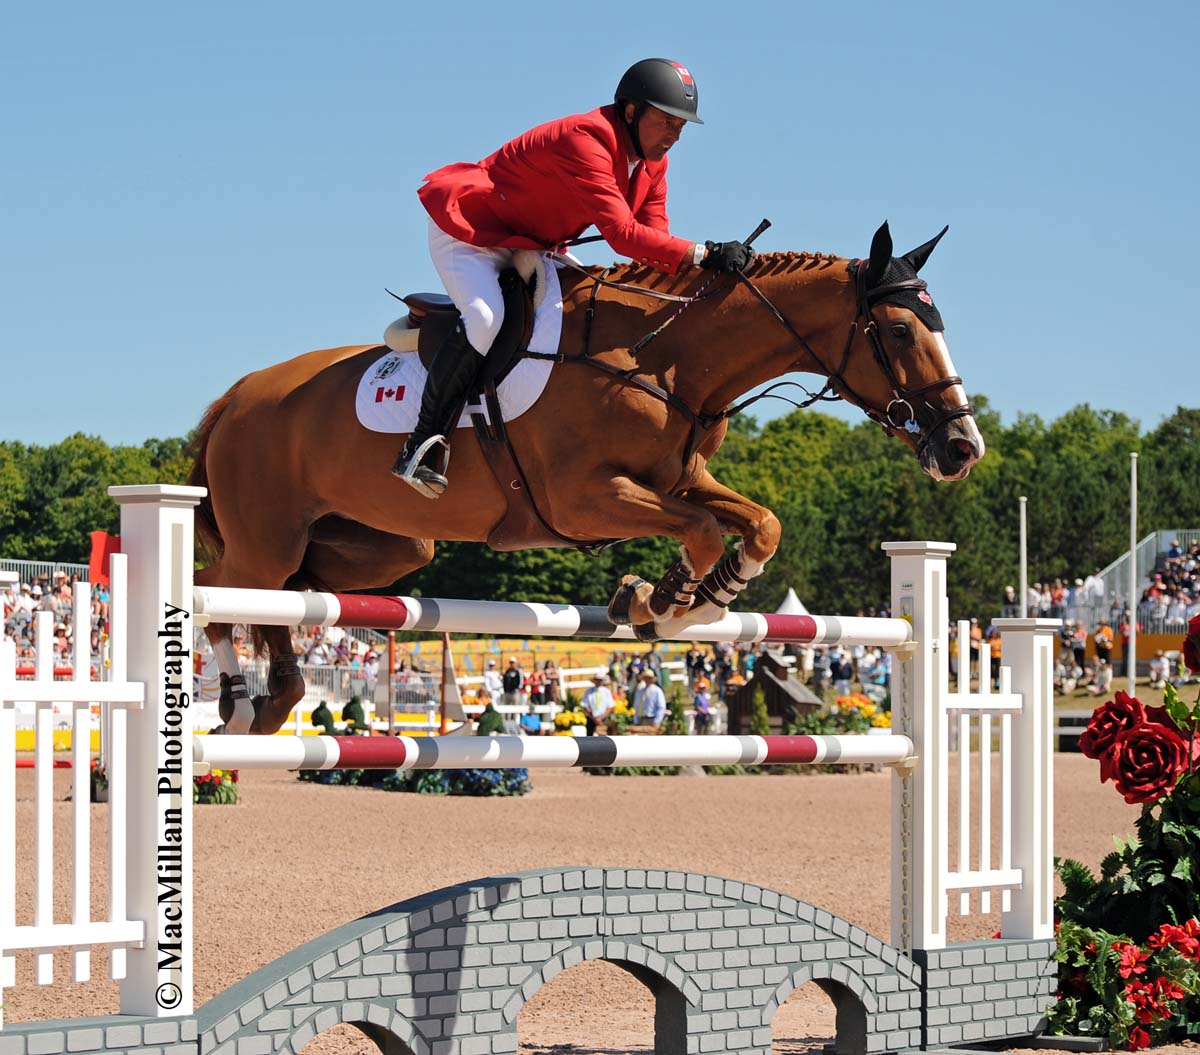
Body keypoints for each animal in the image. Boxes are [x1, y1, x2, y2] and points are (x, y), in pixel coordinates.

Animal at [192, 223, 984, 734]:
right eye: (901, 331)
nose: (962, 447)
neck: (662, 360)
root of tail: (236, 395)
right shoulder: (580, 500)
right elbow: (702, 529)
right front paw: (661, 601)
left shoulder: (680, 478)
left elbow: (758, 523)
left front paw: (676, 598)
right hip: (266, 538)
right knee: (222, 597)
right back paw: (237, 694)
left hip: (386, 546)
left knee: (289, 593)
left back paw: (278, 691)